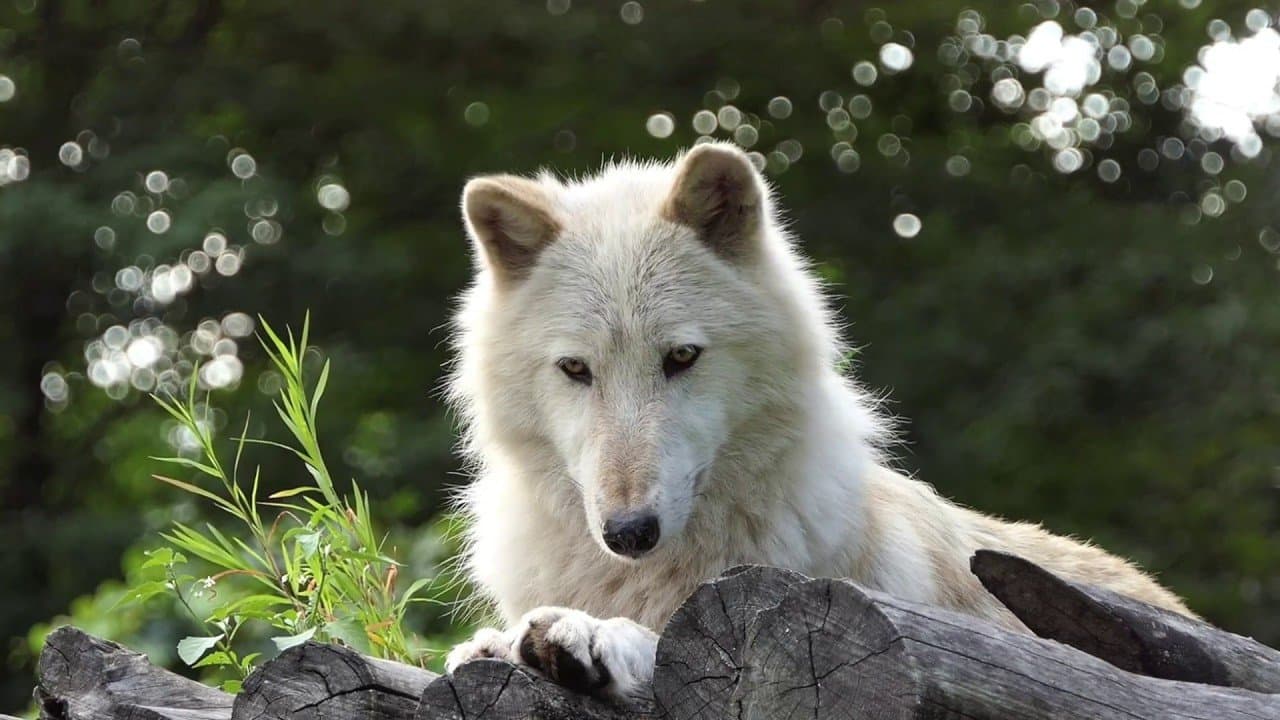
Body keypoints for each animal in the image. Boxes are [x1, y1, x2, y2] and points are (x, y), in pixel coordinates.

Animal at [442, 142, 1194, 702]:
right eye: (576, 369)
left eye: (681, 357)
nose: (629, 532)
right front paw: (494, 643)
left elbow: (670, 644)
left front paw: (590, 637)